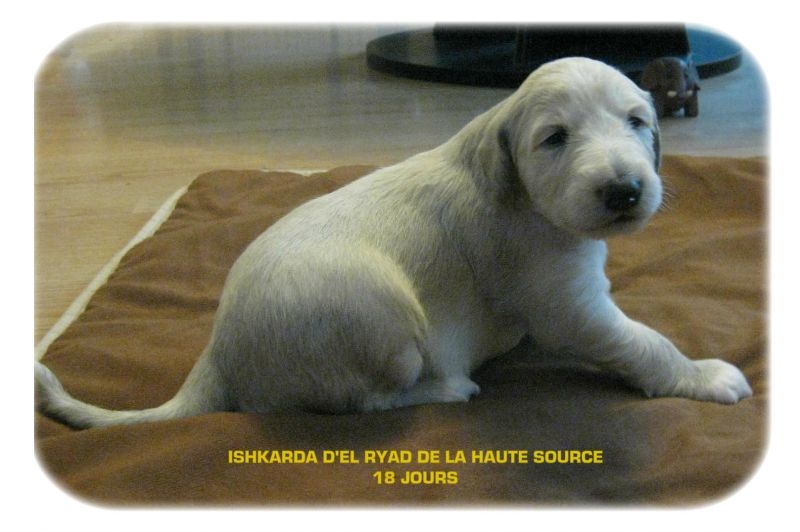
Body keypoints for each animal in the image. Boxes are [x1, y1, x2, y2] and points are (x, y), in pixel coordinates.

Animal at [35, 57, 752, 429]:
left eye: (637, 122)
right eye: (554, 139)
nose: (626, 191)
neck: (521, 193)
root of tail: (219, 354)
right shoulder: (567, 304)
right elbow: (644, 342)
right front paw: (702, 374)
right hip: (381, 310)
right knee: (360, 400)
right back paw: (447, 387)